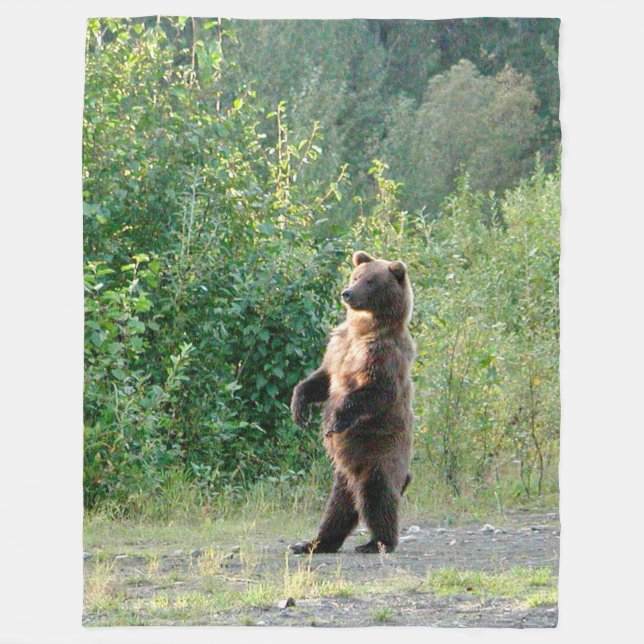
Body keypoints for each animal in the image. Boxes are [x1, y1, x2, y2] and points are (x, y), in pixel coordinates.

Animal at [290, 250, 416, 554]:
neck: (364, 329)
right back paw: (314, 542)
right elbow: (322, 379)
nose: (347, 293)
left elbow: (372, 392)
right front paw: (299, 408)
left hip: (378, 453)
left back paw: (377, 542)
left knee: (377, 494)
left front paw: (334, 420)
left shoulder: (382, 355)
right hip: (344, 472)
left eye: (371, 282)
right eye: (356, 276)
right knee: (338, 505)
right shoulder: (339, 345)